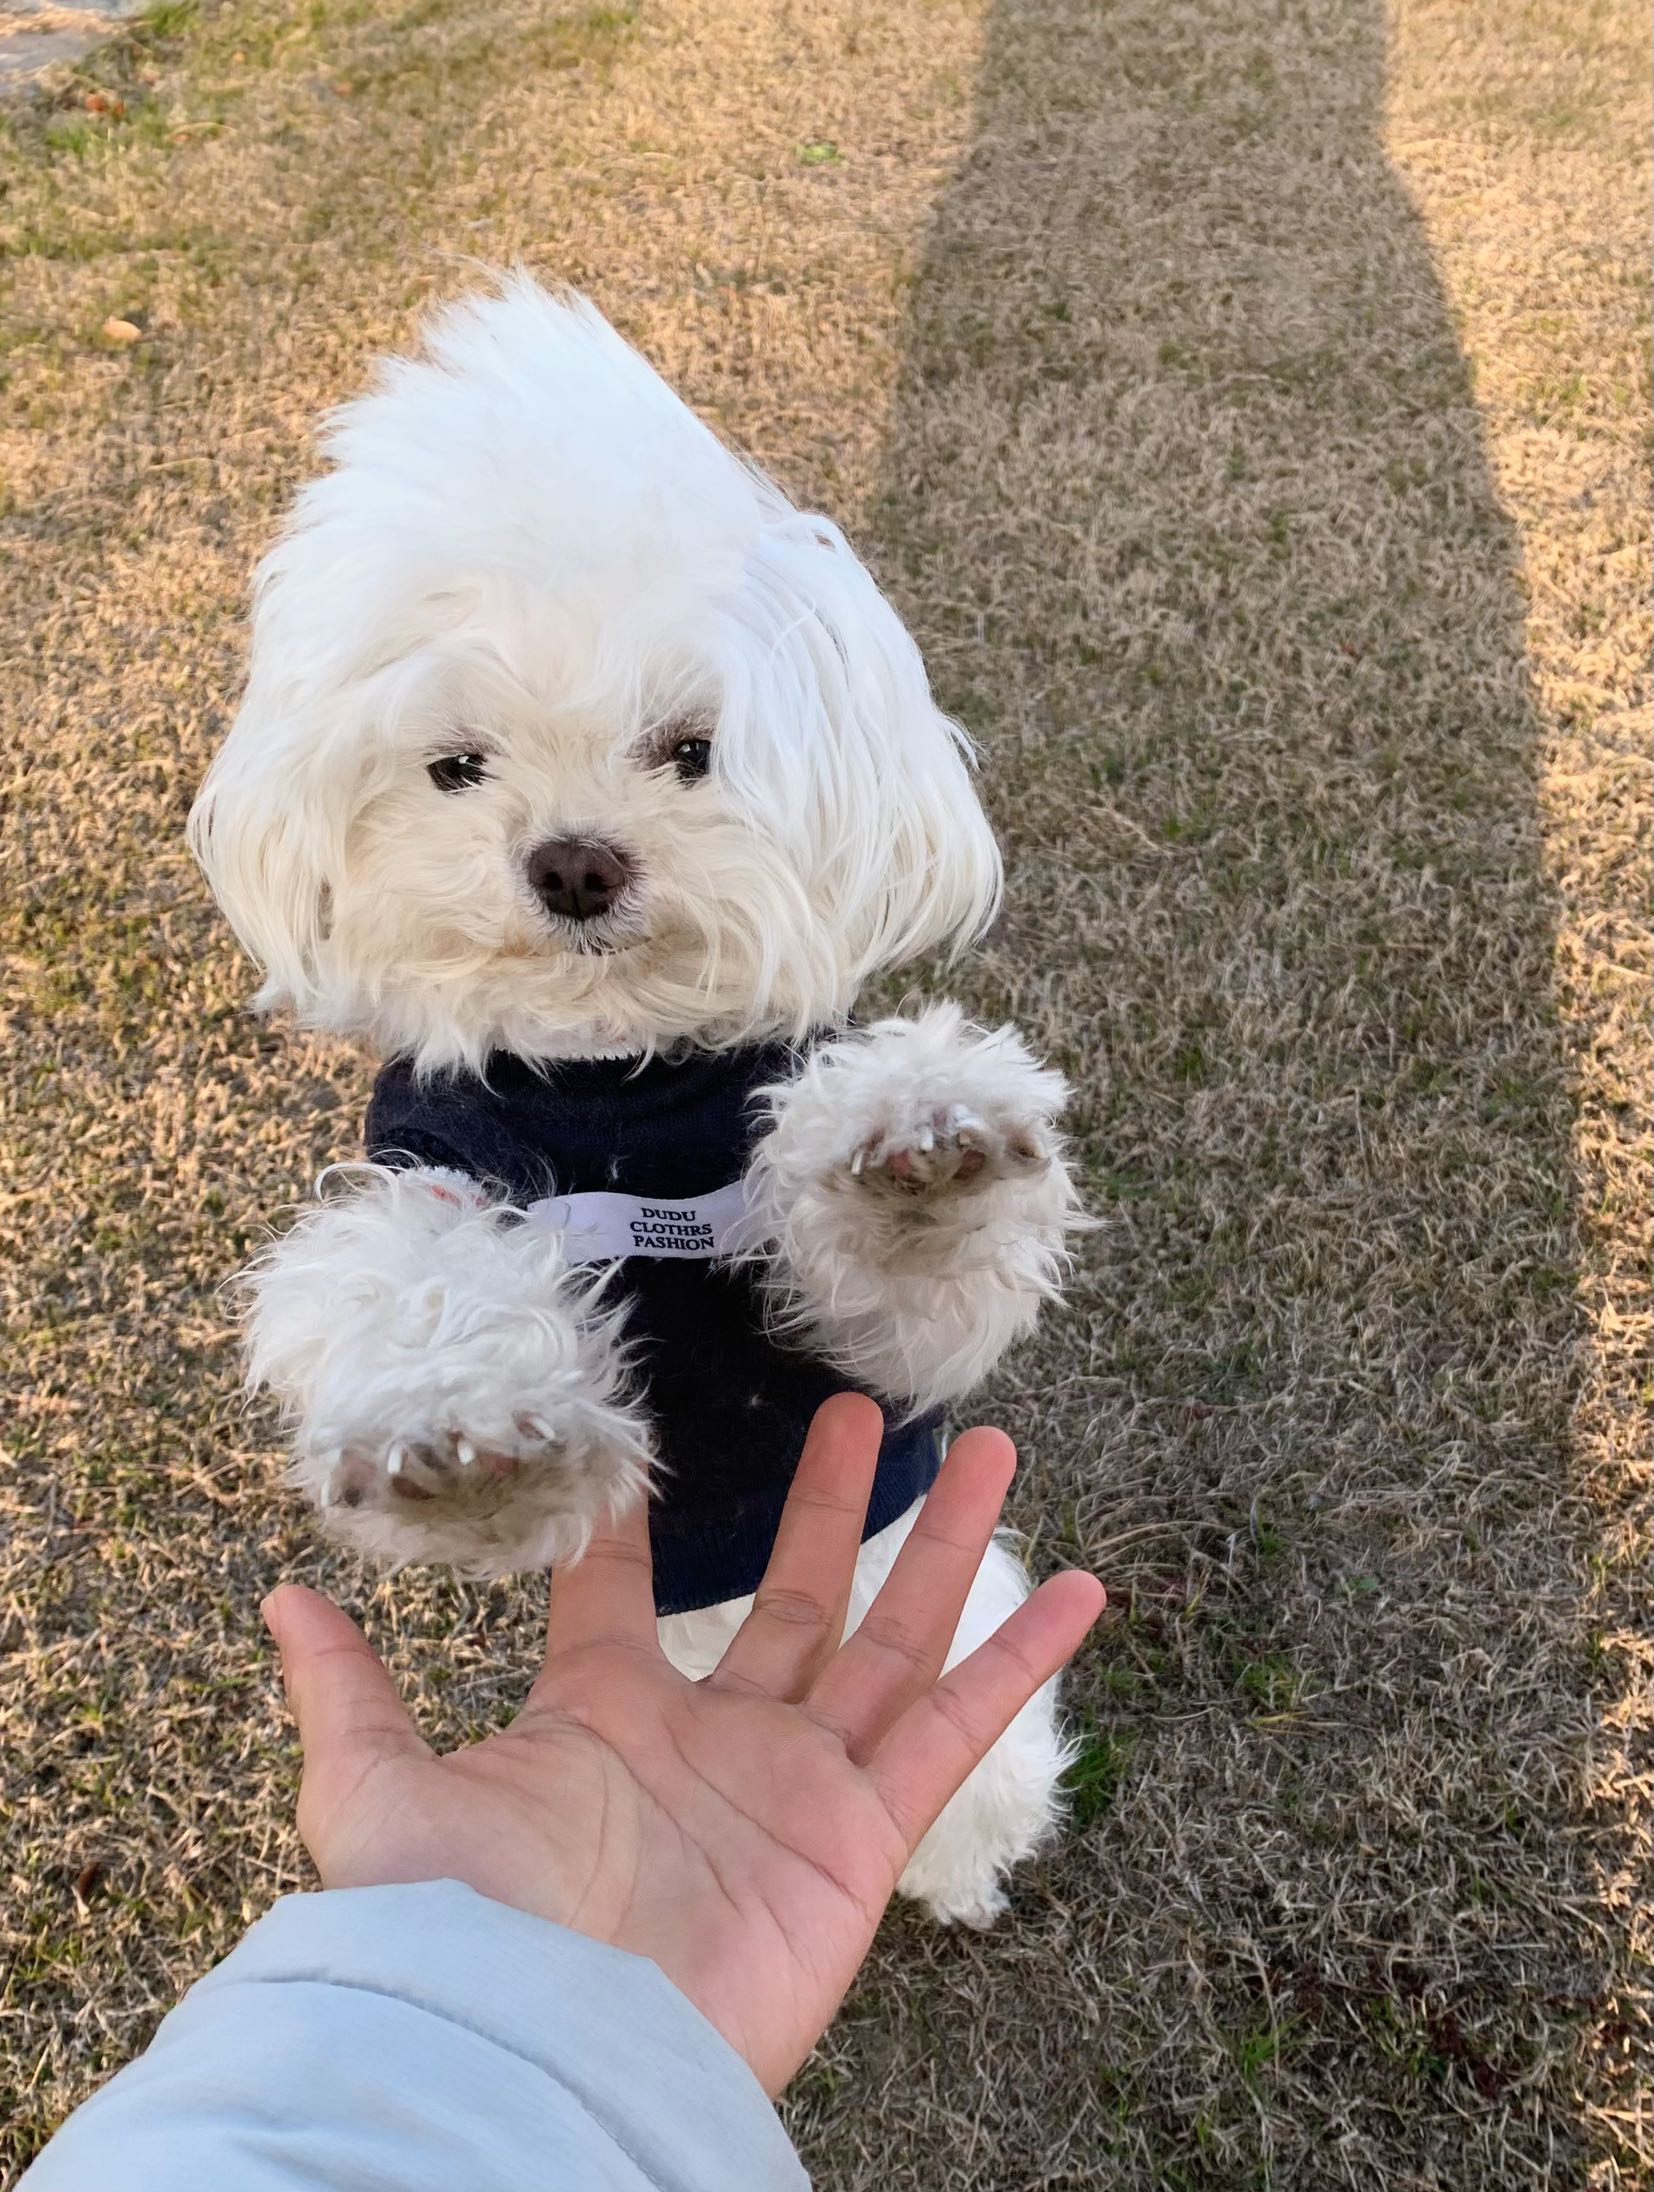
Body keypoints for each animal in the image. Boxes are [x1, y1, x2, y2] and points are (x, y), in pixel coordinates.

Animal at [189, 276, 1086, 1924]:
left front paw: (920, 1155)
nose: (573, 862)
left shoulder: (858, 1360)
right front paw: (465, 1445)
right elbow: (398, 1282)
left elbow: (909, 1289)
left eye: (690, 751)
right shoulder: (439, 1165)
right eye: (454, 768)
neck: (613, 1081)